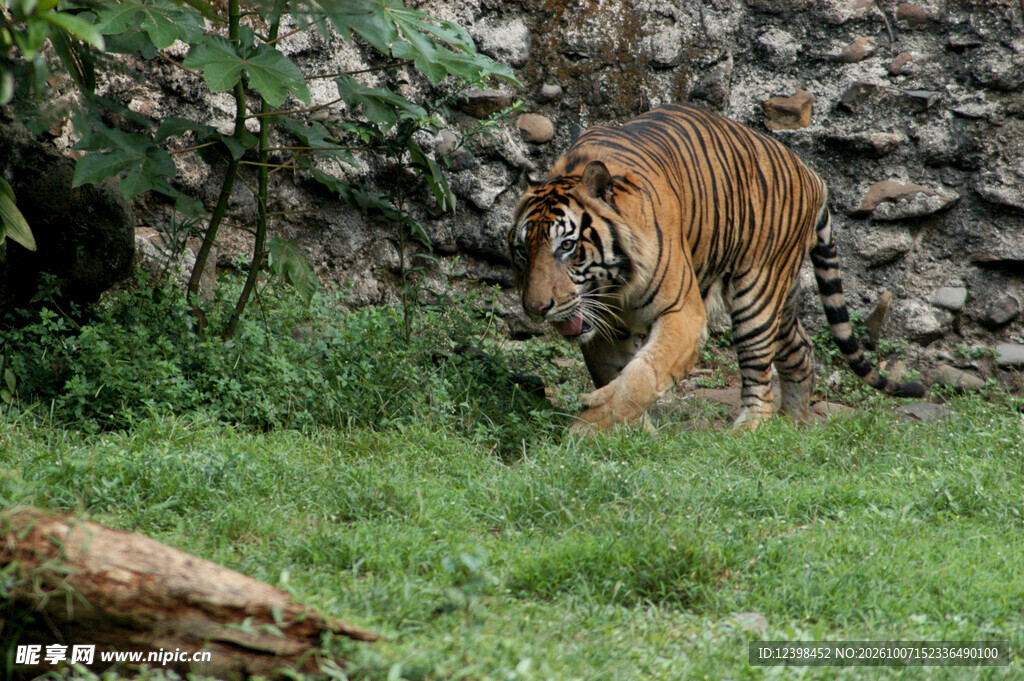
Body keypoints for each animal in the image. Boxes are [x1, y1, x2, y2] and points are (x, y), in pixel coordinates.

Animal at [507, 103, 926, 434]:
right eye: (523, 252)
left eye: (567, 246)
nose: (537, 309)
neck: (612, 285)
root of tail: (812, 175)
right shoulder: (603, 328)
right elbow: (616, 376)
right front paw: (628, 431)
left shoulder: (683, 314)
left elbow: (641, 377)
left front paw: (587, 431)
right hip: (783, 297)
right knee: (801, 351)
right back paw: (793, 424)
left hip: (757, 293)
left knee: (759, 374)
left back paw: (750, 430)